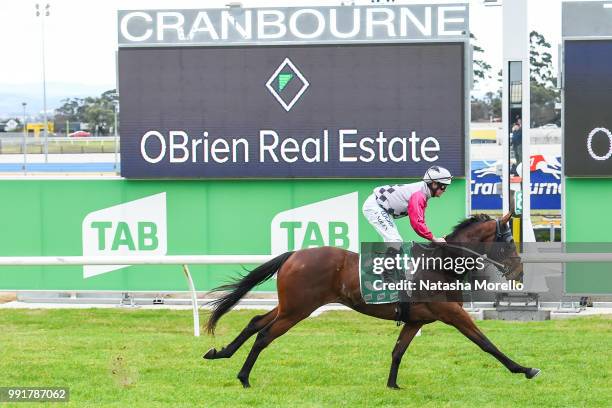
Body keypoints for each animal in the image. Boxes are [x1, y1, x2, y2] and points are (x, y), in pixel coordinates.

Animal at [204, 214, 540, 388]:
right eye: (509, 243)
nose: (520, 272)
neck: (441, 263)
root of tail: (294, 254)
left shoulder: (417, 319)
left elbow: (398, 351)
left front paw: (392, 385)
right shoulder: (451, 313)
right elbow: (486, 343)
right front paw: (524, 369)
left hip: (290, 305)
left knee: (254, 322)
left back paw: (220, 353)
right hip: (298, 309)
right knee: (264, 334)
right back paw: (244, 378)